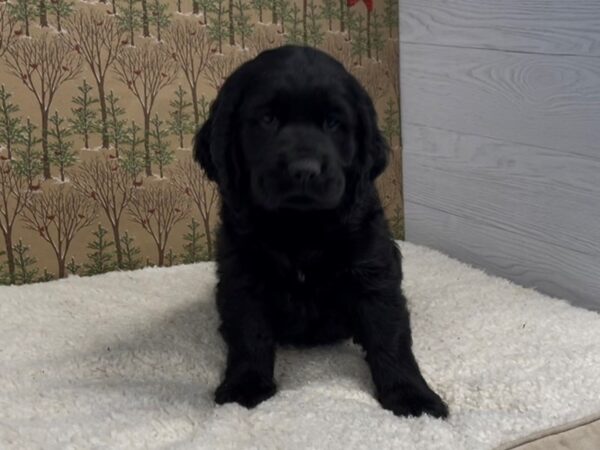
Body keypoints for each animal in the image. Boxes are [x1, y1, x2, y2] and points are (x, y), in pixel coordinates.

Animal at [195, 45, 448, 418]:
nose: (304, 170)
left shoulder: (374, 273)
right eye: (267, 119)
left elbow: (390, 336)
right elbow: (248, 332)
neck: (302, 226)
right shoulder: (242, 274)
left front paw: (412, 395)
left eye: (333, 122)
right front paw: (245, 386)